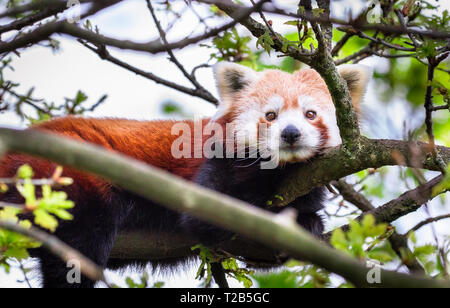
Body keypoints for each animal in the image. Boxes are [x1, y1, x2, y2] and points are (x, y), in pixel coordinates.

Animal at [0, 61, 370, 288]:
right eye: (270, 115)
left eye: (310, 114)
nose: (291, 134)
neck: (286, 172)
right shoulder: (216, 168)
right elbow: (210, 218)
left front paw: (307, 222)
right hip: (68, 178)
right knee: (81, 243)